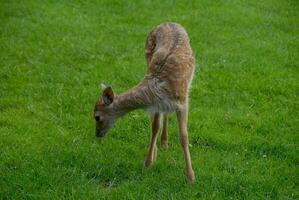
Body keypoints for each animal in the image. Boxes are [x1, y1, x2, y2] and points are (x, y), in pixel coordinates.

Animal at [94, 22, 197, 184]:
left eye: (97, 117)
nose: (97, 134)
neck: (159, 85)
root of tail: (170, 22)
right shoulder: (156, 103)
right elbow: (154, 127)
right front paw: (148, 163)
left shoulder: (182, 101)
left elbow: (184, 136)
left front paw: (191, 177)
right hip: (147, 58)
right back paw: (162, 143)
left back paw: (164, 143)